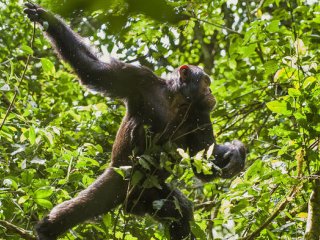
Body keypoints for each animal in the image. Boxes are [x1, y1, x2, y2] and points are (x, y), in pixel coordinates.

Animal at [23, 2, 246, 240]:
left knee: (180, 211)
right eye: (205, 81)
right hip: (117, 180)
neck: (176, 99)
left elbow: (202, 159)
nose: (211, 91)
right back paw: (46, 229)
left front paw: (236, 153)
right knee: (76, 209)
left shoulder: (201, 114)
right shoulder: (137, 78)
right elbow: (94, 69)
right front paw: (46, 17)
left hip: (151, 192)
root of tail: (130, 203)